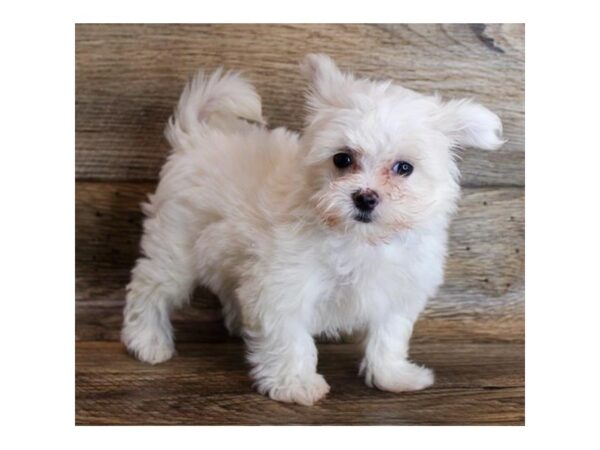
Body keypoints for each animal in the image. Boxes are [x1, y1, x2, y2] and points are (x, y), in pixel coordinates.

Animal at [120, 54, 502, 406]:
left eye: (404, 168)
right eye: (342, 159)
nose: (365, 197)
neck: (357, 239)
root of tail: (197, 137)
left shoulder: (397, 289)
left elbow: (389, 335)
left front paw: (393, 376)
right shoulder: (283, 287)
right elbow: (291, 339)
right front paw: (296, 385)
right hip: (175, 245)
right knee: (150, 290)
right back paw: (147, 341)